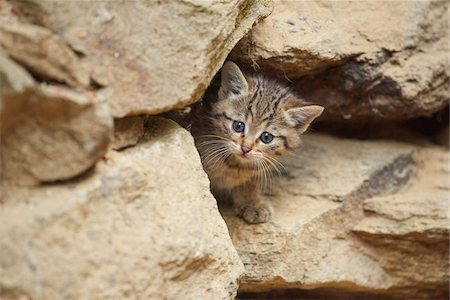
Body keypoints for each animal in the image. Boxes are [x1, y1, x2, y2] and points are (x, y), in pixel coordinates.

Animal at [192, 62, 322, 224]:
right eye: (238, 126)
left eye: (266, 137)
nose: (245, 148)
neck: (234, 166)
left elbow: (249, 181)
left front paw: (252, 202)